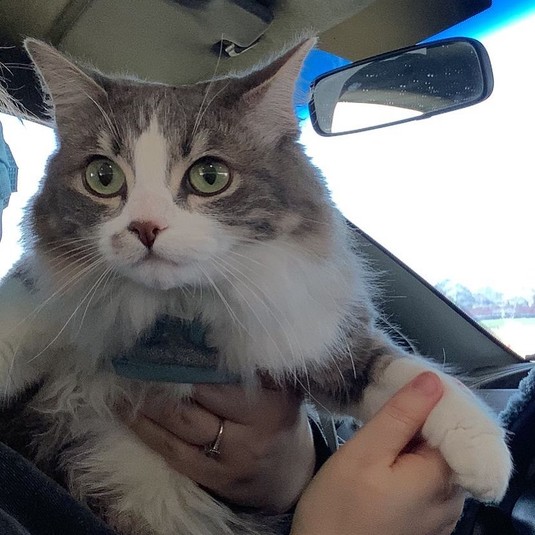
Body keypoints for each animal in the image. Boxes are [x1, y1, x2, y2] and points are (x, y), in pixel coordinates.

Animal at [0, 37, 511, 535]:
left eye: (209, 176)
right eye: (102, 177)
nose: (145, 227)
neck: (177, 314)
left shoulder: (323, 338)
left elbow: (408, 373)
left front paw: (485, 456)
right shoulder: (45, 299)